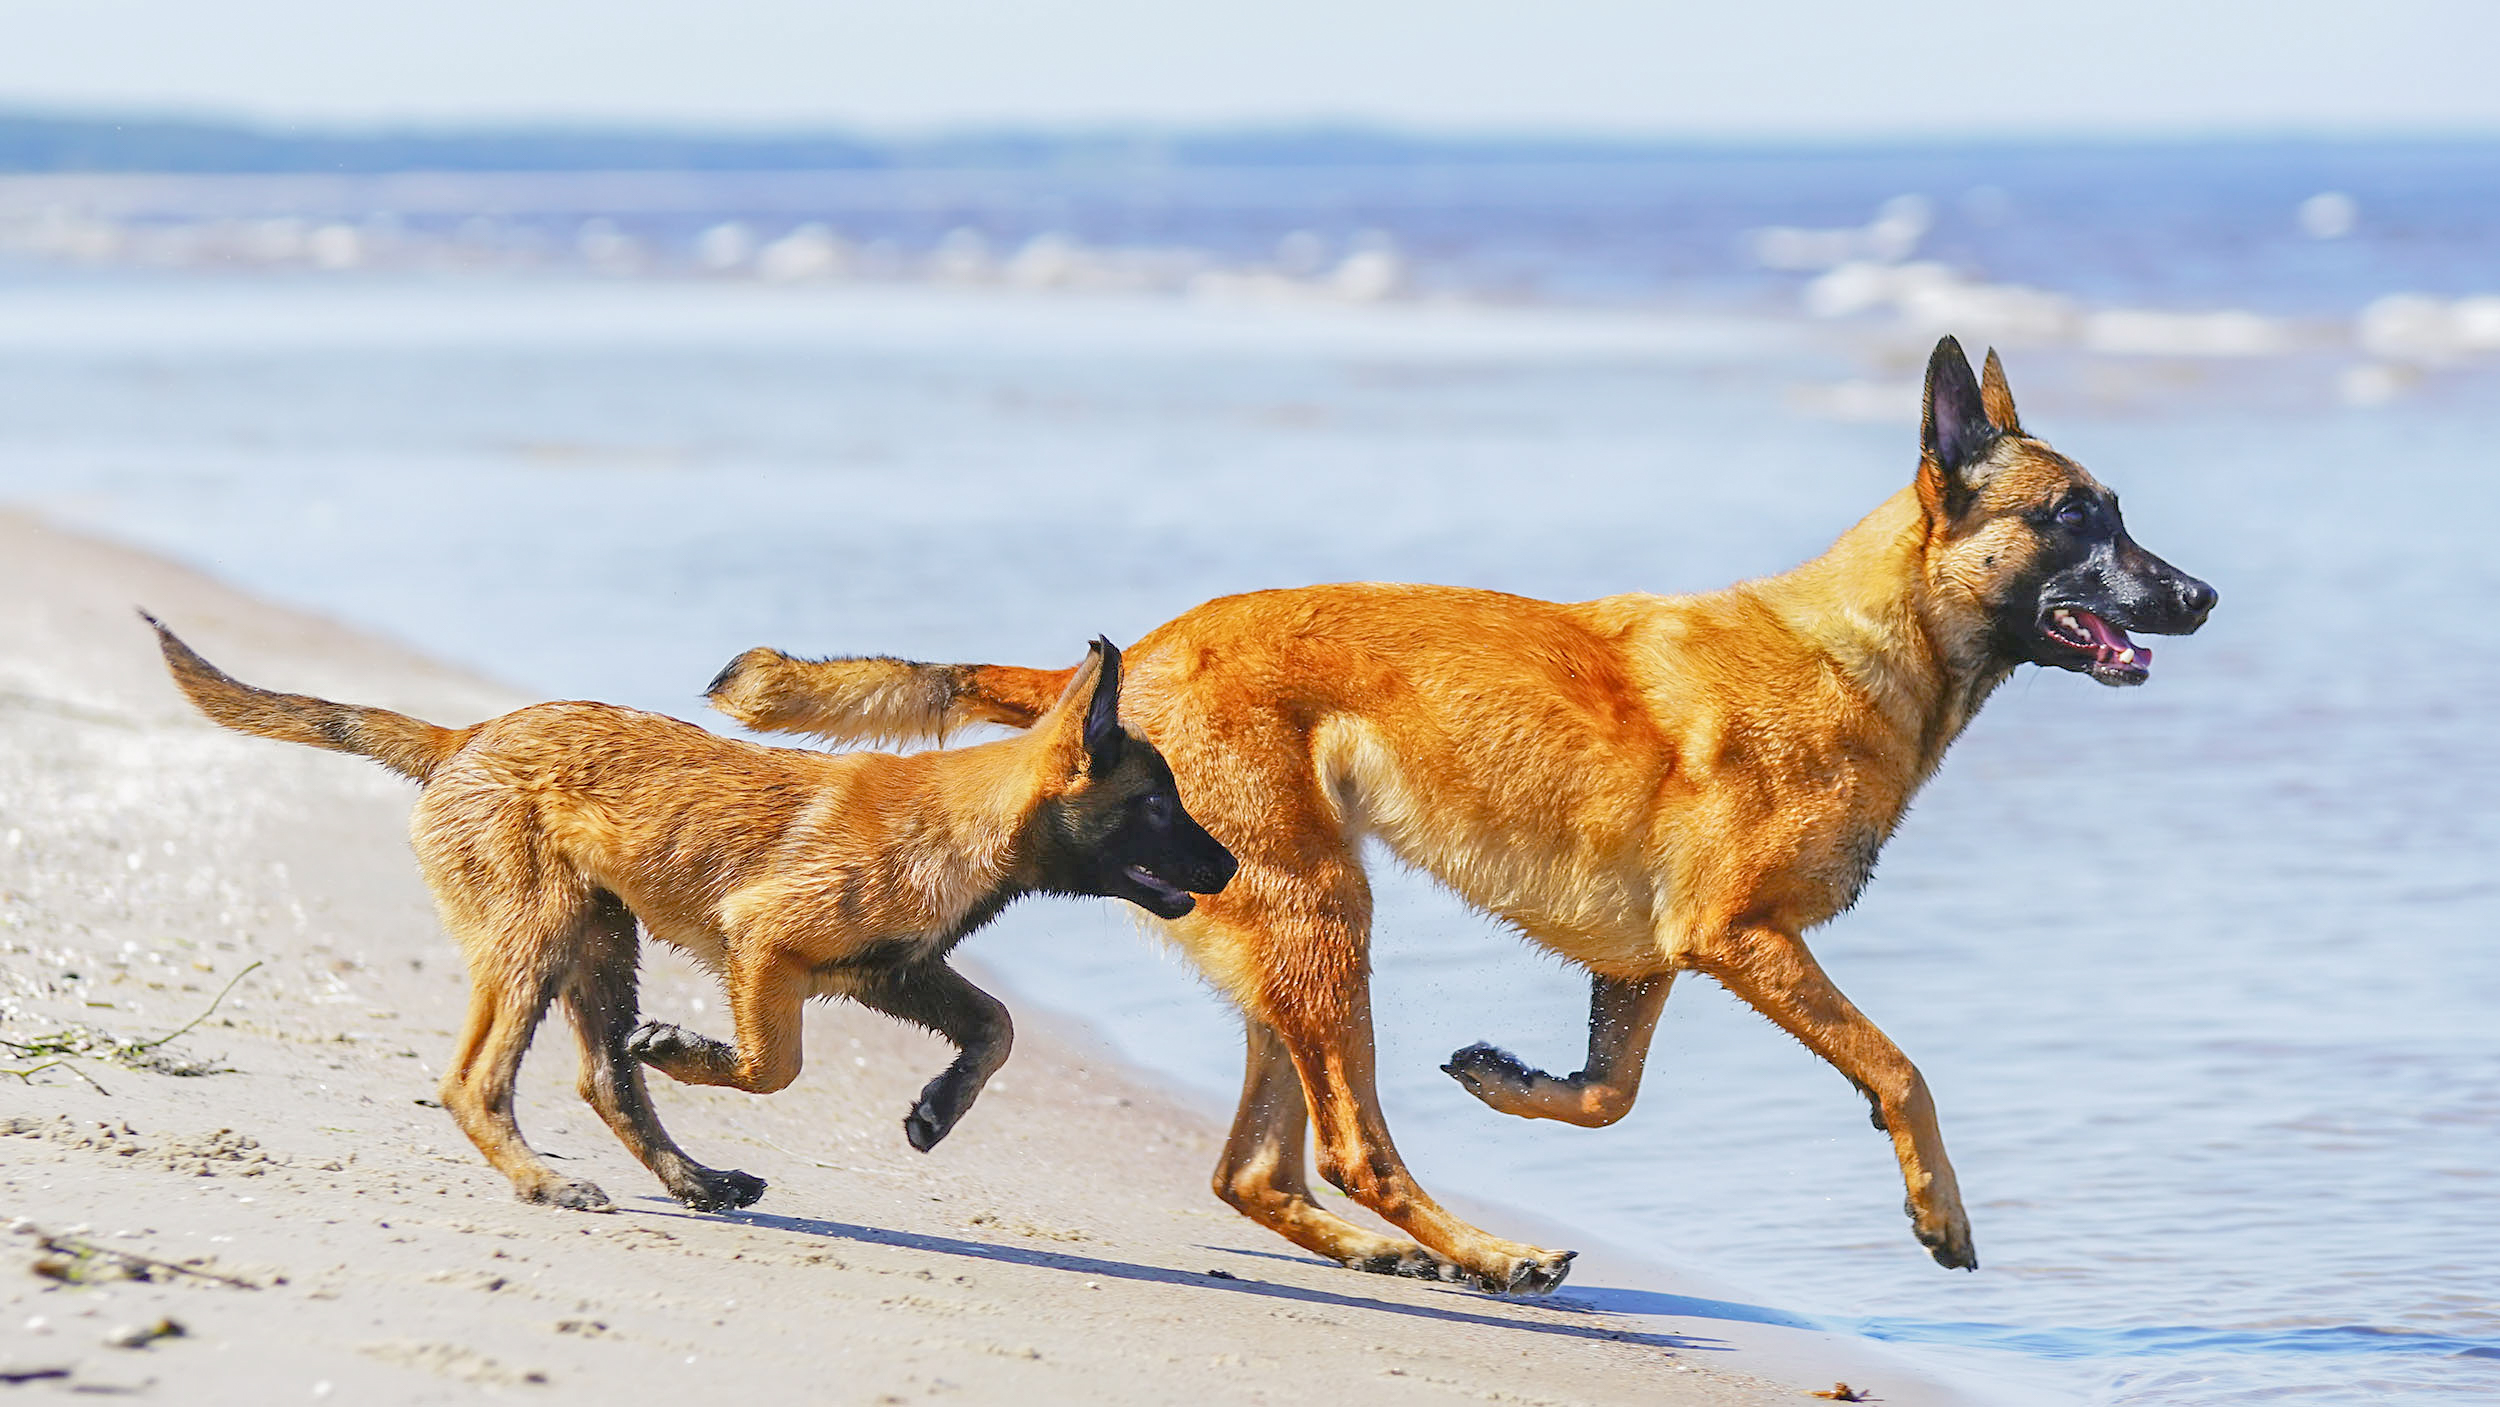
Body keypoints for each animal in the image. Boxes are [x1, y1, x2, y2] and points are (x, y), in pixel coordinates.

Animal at [148, 627, 1240, 1209]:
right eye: (1158, 803)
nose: (1230, 864)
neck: (966, 817)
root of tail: (463, 736)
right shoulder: (766, 944)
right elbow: (773, 1065)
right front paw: (688, 1049)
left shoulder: (893, 971)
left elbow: (998, 1025)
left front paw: (940, 1106)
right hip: (536, 938)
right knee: (477, 1080)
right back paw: (545, 1180)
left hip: (600, 941)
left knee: (603, 1078)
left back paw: (694, 1180)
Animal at [715, 334, 2220, 1289]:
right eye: (2076, 517)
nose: (2203, 596)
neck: (1871, 642)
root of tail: (1127, 663)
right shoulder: (1741, 939)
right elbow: (1900, 1065)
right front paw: (1936, 1207)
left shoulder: (1650, 956)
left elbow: (1608, 1092)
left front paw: (1515, 1079)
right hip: (1327, 918)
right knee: (1351, 1147)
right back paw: (1486, 1252)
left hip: (1282, 942)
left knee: (1261, 1169)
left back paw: (1407, 1252)